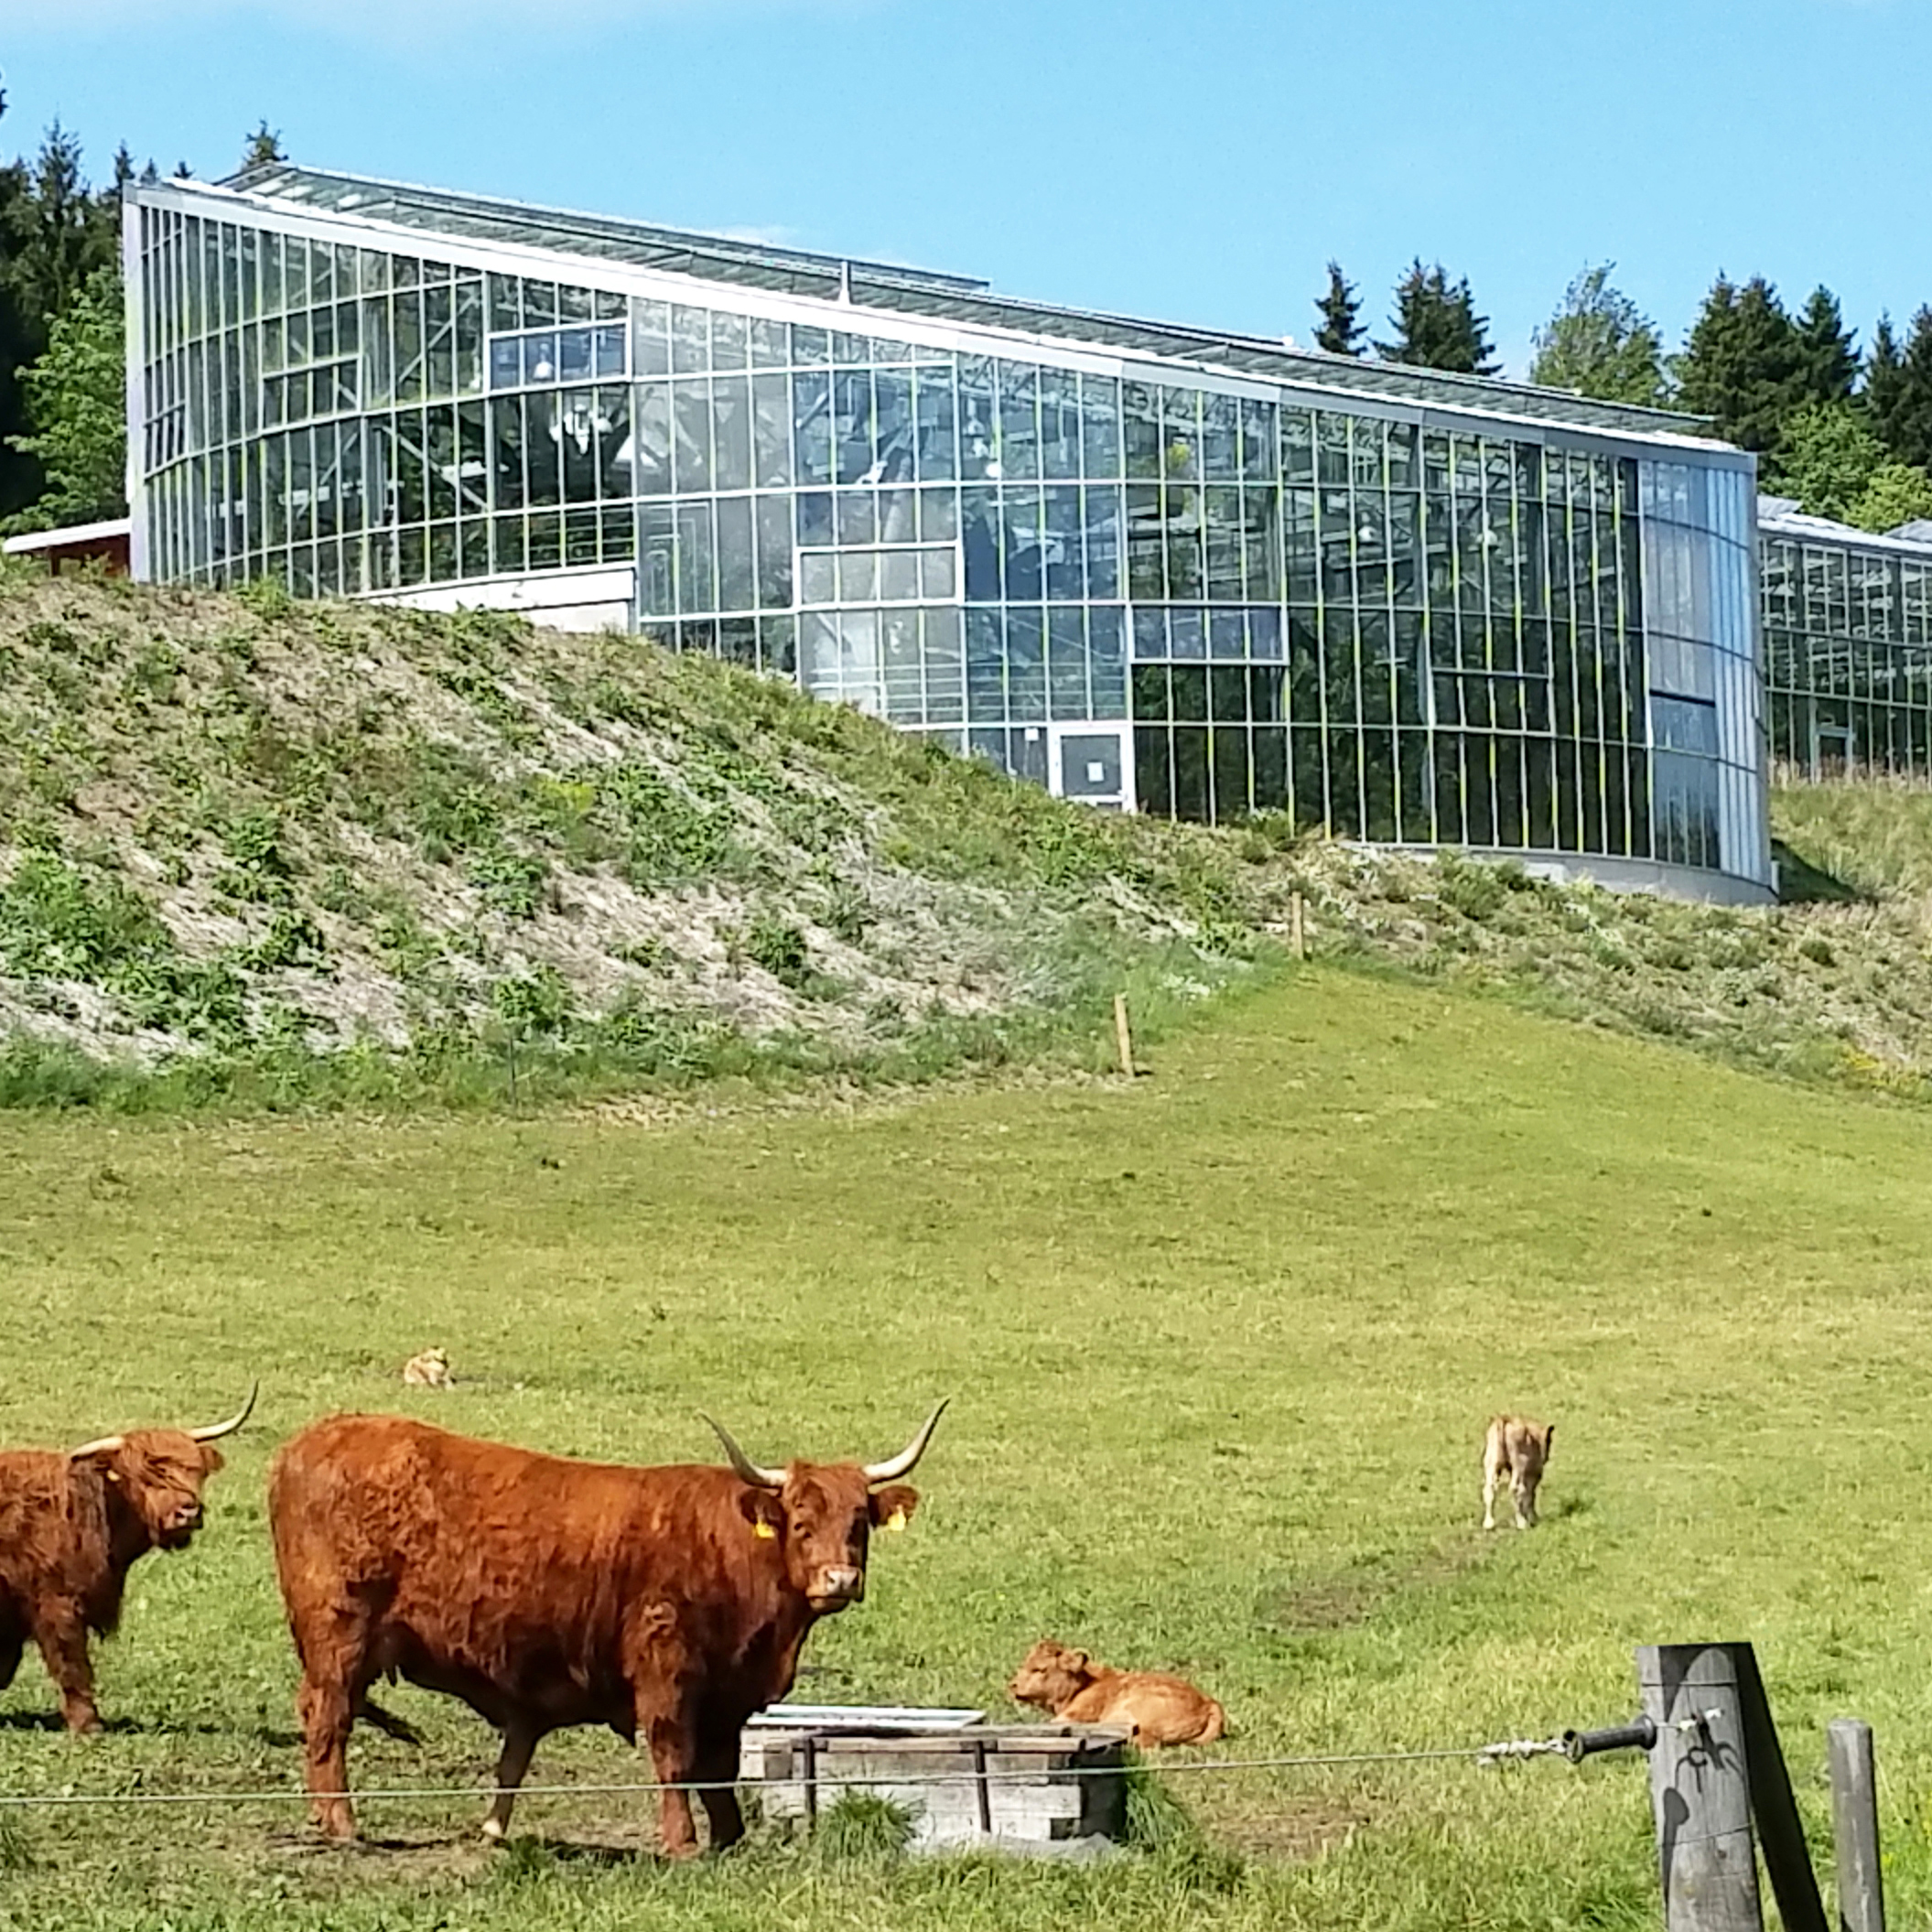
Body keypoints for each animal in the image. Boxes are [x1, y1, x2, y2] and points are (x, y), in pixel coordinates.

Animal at [0, 1390, 256, 1738]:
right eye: (144, 1477)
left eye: (195, 1471)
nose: (187, 1512)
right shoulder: (57, 1602)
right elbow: (72, 1665)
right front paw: (89, 1725)